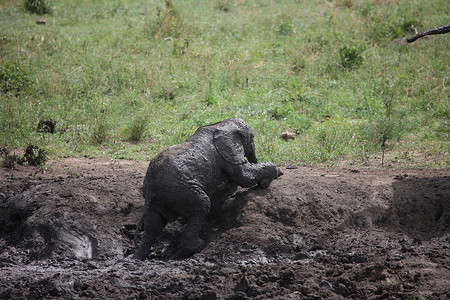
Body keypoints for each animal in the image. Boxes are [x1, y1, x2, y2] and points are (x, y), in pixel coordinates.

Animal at [133, 118, 282, 258]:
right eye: (252, 138)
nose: (254, 159)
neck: (221, 124)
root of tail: (151, 186)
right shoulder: (227, 154)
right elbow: (244, 176)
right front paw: (277, 173)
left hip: (159, 198)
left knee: (153, 225)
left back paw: (138, 257)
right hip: (182, 191)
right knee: (201, 206)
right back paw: (197, 245)